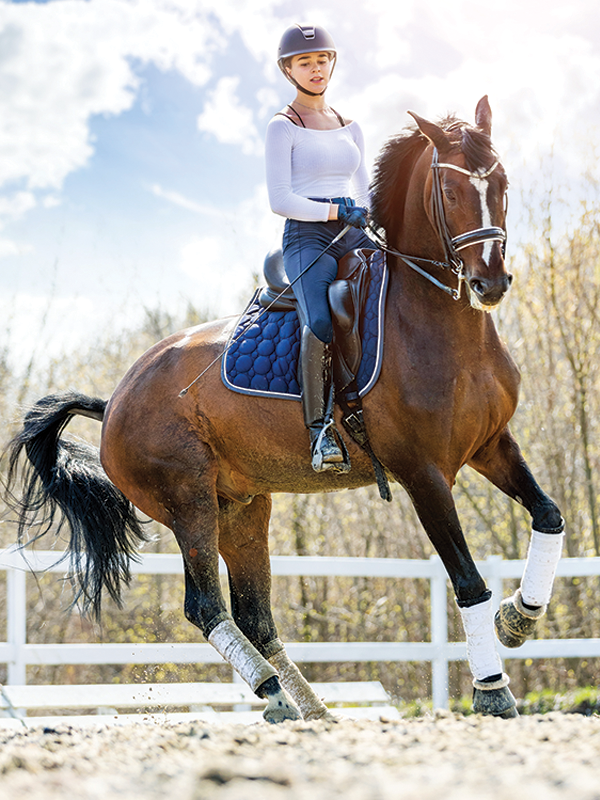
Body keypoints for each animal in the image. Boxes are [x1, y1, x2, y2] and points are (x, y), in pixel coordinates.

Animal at [4, 96, 564, 721]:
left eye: (502, 182)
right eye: (448, 190)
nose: (491, 283)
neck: (442, 324)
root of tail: (116, 399)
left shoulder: (491, 445)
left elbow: (549, 516)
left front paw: (519, 618)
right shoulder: (423, 473)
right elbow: (467, 581)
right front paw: (493, 689)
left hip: (243, 509)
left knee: (256, 615)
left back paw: (310, 710)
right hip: (189, 503)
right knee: (206, 606)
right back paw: (273, 692)